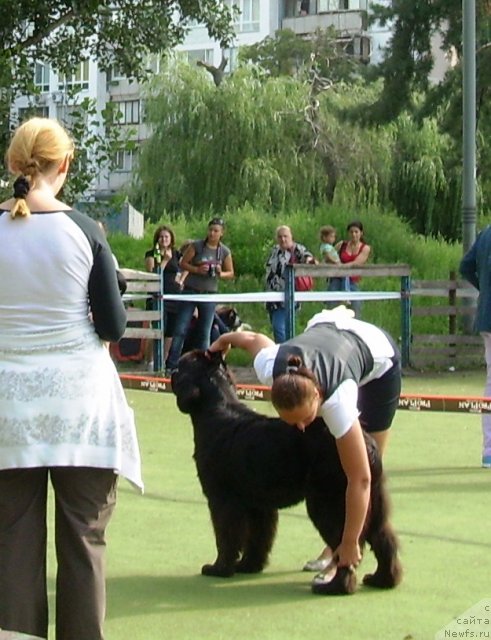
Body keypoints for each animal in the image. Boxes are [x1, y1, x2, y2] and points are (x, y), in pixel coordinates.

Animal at [171, 350, 402, 596]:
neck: (215, 411)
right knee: (383, 538)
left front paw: (220, 568)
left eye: (181, 365)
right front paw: (249, 565)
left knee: (347, 545)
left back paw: (336, 586)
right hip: (371, 501)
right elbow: (258, 538)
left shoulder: (222, 500)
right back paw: (382, 579)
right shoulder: (258, 505)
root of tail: (368, 444)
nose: (172, 371)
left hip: (330, 503)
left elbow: (226, 537)